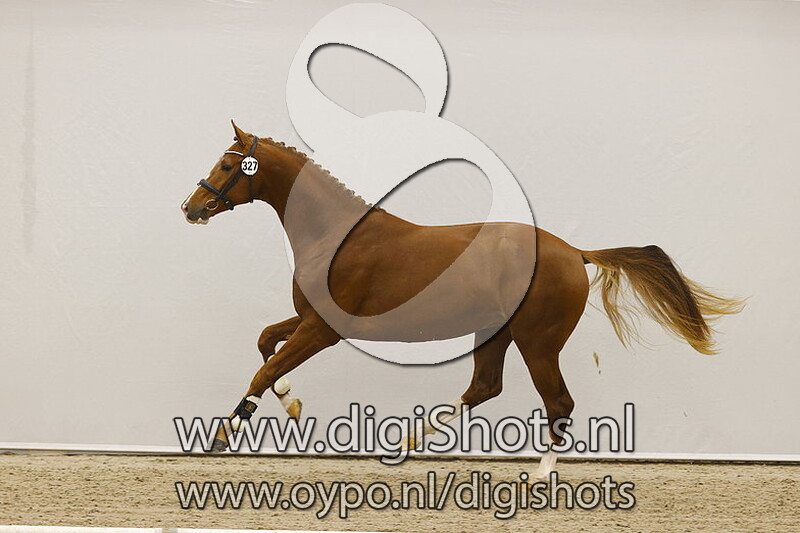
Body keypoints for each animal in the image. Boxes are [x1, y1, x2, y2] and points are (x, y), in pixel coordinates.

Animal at [181, 121, 743, 478]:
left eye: (230, 164)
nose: (191, 207)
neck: (337, 236)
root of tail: (575, 252)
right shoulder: (308, 318)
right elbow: (265, 345)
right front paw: (290, 402)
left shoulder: (325, 329)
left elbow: (265, 369)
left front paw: (224, 435)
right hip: (494, 333)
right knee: (483, 388)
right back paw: (403, 445)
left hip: (537, 342)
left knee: (557, 402)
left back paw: (539, 476)